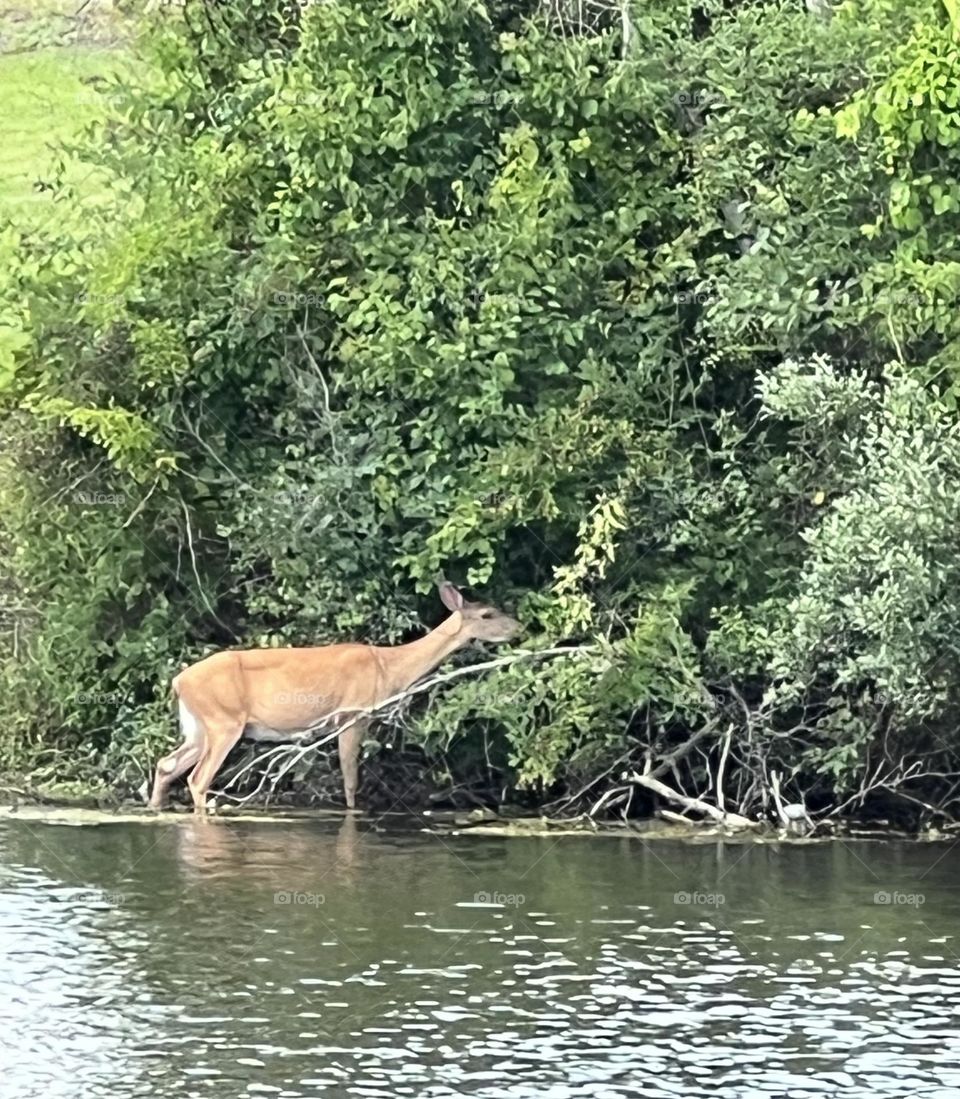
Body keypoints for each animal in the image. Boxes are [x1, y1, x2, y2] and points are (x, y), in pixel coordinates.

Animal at [146, 581, 521, 813]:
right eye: (487, 614)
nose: (519, 627)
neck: (387, 667)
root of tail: (178, 681)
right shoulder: (353, 713)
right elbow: (350, 778)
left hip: (198, 726)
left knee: (166, 764)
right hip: (223, 720)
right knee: (198, 778)